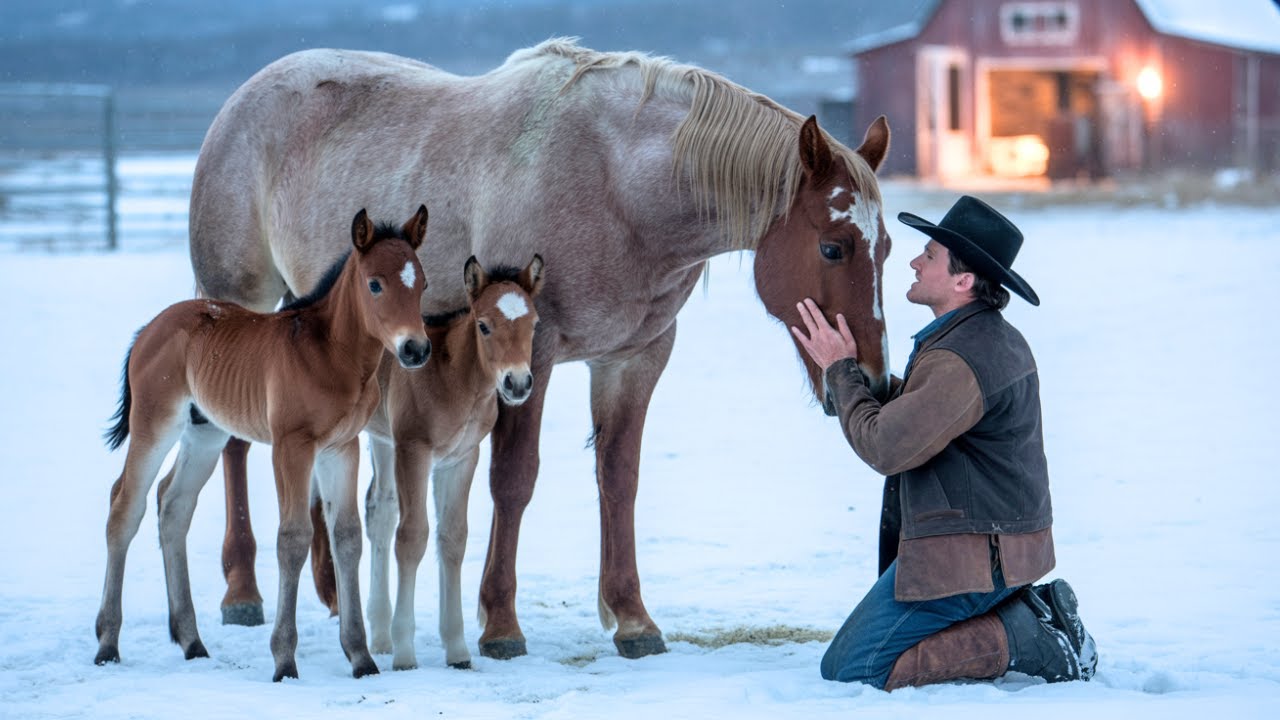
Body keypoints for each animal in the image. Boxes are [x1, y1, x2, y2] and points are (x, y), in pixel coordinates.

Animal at [94, 206, 431, 682]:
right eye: (375, 284)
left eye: (423, 284)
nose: (416, 349)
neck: (330, 355)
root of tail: (149, 328)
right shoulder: (291, 446)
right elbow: (293, 537)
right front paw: (284, 660)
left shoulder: (340, 448)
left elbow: (347, 536)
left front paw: (361, 657)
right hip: (153, 423)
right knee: (125, 504)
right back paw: (107, 642)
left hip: (205, 432)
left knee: (173, 505)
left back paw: (192, 641)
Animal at [356, 254, 544, 671]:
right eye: (484, 325)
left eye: (535, 323)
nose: (517, 384)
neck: (455, 380)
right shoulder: (414, 449)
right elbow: (412, 537)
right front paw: (405, 653)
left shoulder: (461, 457)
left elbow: (453, 538)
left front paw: (457, 649)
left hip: (382, 439)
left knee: (379, 510)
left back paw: (379, 636)